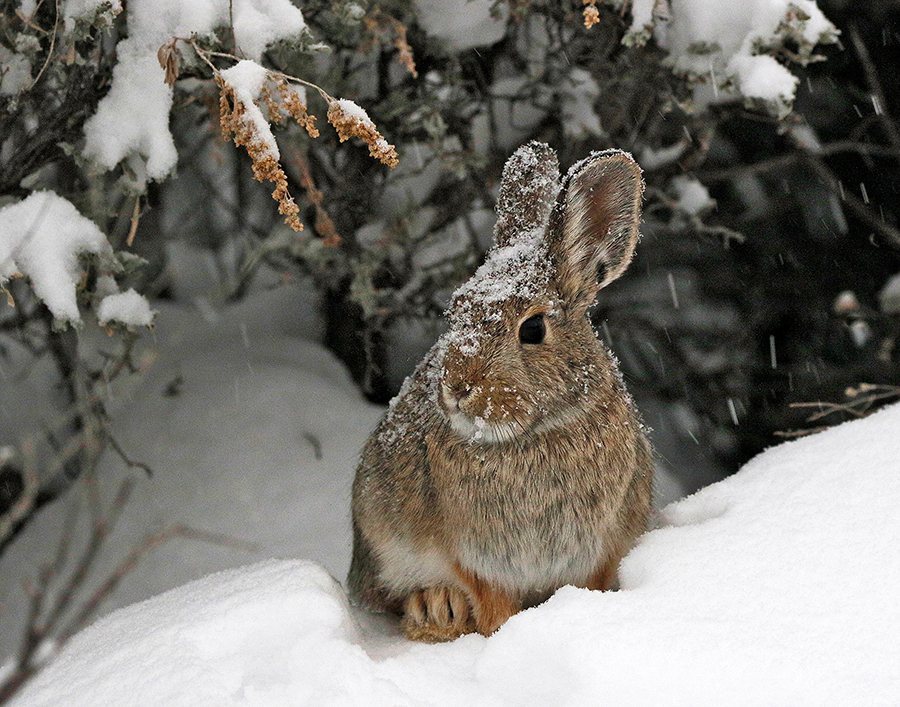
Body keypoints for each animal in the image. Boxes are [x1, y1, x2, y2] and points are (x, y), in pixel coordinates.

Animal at [348, 141, 652, 644]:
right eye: (456, 309)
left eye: (532, 329)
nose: (456, 387)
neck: (536, 432)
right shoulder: (477, 560)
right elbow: (493, 606)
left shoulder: (598, 550)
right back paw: (436, 609)